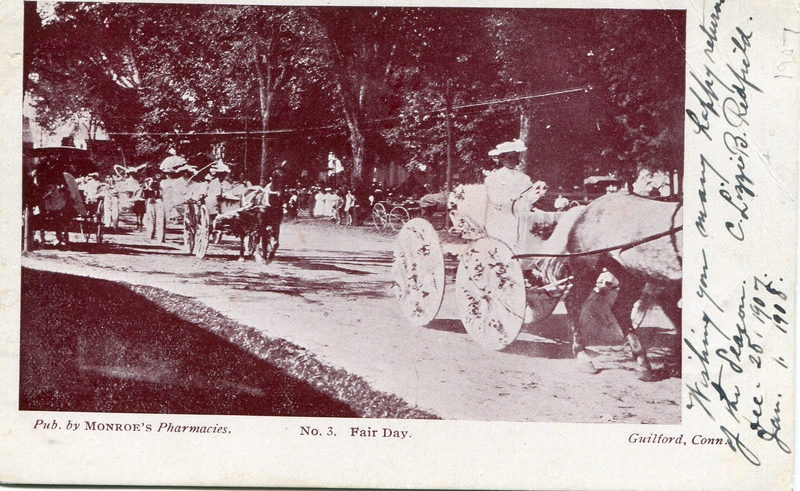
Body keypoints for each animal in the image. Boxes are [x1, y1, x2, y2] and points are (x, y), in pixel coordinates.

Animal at [564, 191, 680, 380]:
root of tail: (588, 206)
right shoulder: (666, 285)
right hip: (587, 267)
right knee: (572, 302)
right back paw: (583, 357)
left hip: (630, 275)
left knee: (620, 309)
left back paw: (642, 365)